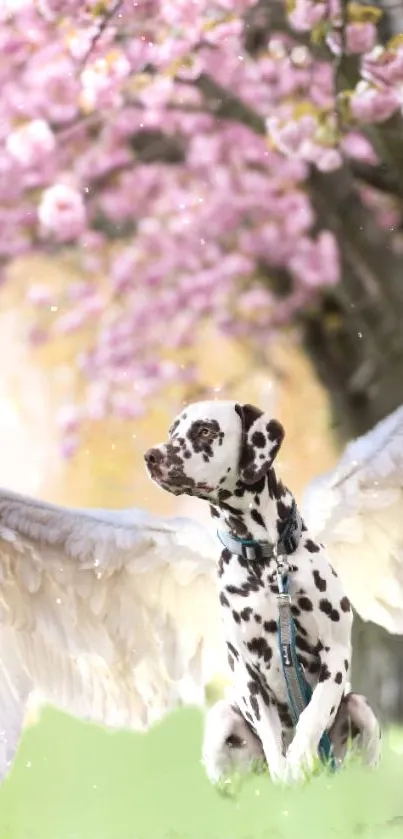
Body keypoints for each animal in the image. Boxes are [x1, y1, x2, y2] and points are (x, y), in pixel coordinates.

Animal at [145, 404, 382, 784]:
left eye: (204, 431)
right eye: (172, 432)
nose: (151, 456)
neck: (267, 560)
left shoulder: (336, 654)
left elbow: (314, 713)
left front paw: (299, 758)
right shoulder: (247, 673)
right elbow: (273, 741)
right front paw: (287, 775)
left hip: (362, 710)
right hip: (221, 719)